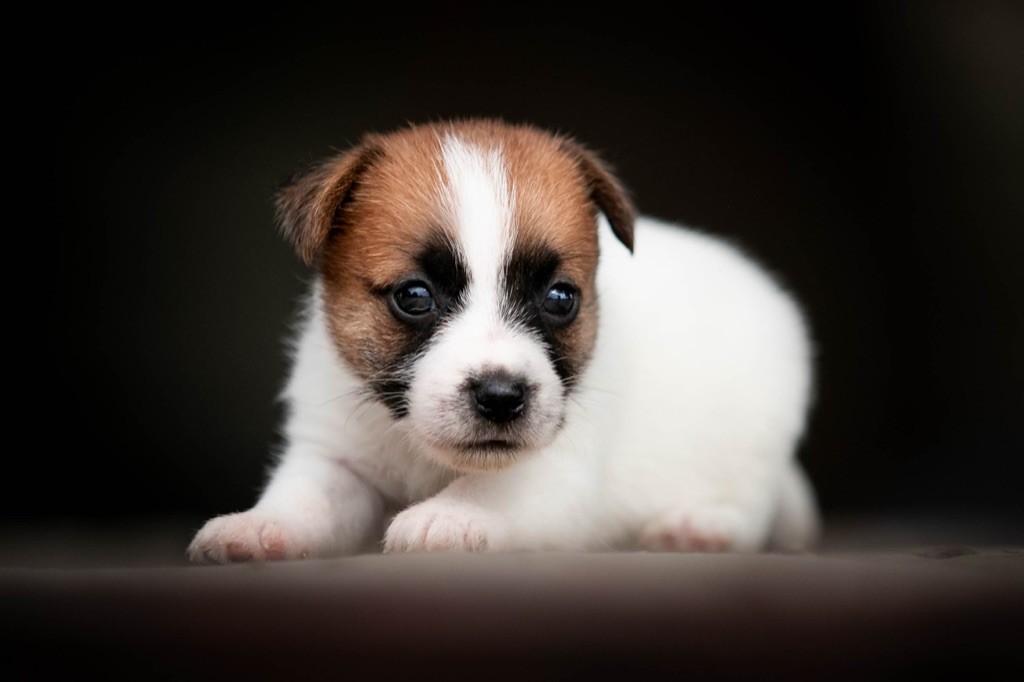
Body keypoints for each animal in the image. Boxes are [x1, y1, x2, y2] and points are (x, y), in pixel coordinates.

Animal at [188, 119, 819, 561]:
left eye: (560, 298)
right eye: (414, 296)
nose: (500, 396)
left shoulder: (558, 471)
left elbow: (494, 491)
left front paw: (446, 517)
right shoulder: (334, 455)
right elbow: (304, 496)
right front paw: (257, 527)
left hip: (754, 446)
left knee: (751, 504)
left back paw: (700, 527)